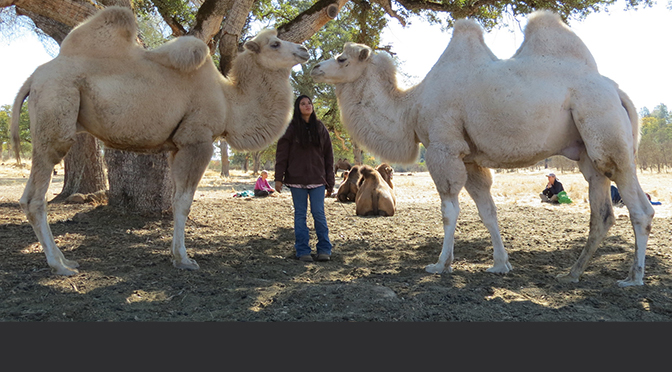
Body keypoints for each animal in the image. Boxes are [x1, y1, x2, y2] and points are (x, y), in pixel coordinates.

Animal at [10, 6, 310, 276]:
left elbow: (176, 199)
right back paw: (59, 266)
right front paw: (185, 260)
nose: (304, 50)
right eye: (275, 43)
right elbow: (184, 202)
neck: (228, 102)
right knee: (33, 198)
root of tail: (33, 78)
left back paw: (66, 259)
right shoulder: (197, 141)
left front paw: (175, 256)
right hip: (55, 115)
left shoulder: (177, 146)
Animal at [314, 10, 656, 286]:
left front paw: (440, 265)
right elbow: (487, 211)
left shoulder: (444, 147)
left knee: (639, 207)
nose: (316, 66)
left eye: (342, 59)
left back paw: (633, 278)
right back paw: (571, 273)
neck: (411, 107)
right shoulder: (469, 159)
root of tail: (618, 91)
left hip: (603, 127)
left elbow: (449, 211)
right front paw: (500, 265)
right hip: (588, 151)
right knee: (603, 212)